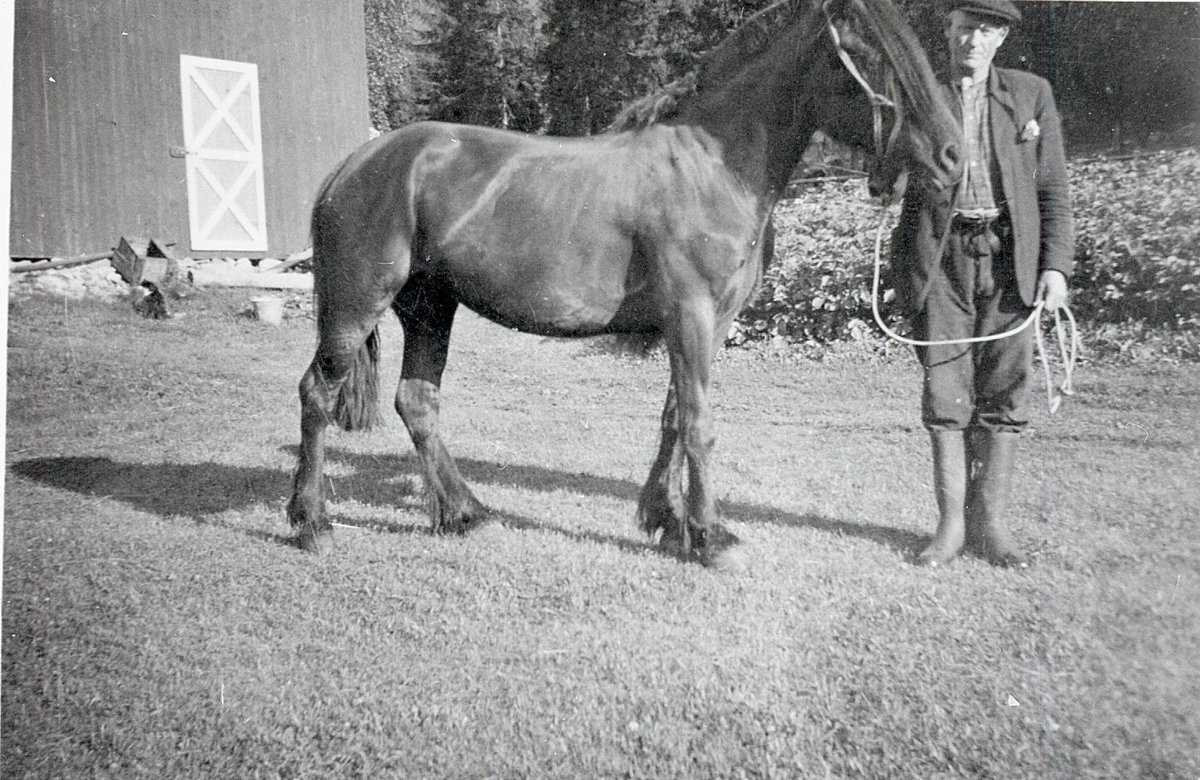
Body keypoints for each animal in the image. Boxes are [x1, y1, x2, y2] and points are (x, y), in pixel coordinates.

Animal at [290, 0, 964, 564]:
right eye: (874, 54)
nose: (954, 156)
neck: (713, 168)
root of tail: (352, 165)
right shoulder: (690, 314)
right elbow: (699, 422)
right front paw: (711, 537)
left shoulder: (709, 322)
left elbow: (674, 417)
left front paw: (668, 520)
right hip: (357, 304)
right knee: (317, 394)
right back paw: (312, 522)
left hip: (430, 307)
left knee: (417, 402)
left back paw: (465, 513)